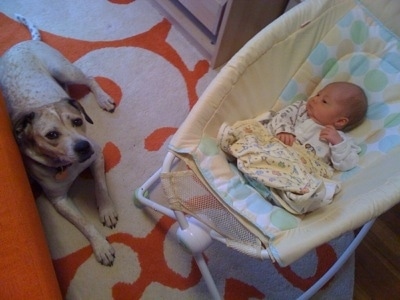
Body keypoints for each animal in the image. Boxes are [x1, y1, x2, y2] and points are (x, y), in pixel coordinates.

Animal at [0, 15, 118, 266]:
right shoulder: (59, 200)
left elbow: (101, 186)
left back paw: (103, 98)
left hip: (64, 69)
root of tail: (20, 44)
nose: (83, 146)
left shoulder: (97, 155)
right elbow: (84, 223)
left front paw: (106, 210)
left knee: (89, 78)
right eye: (51, 135)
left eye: (77, 121)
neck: (67, 166)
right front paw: (101, 245)